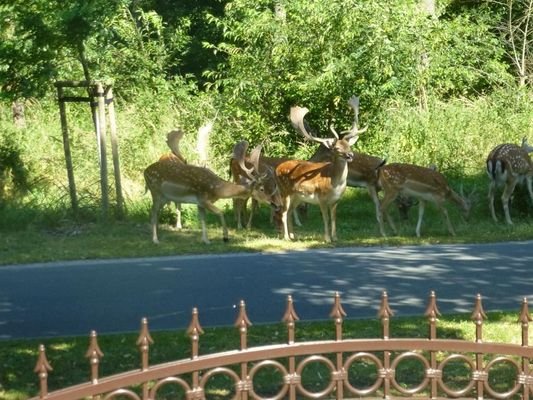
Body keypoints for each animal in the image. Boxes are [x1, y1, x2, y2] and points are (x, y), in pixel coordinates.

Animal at [145, 142, 278, 245]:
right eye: (262, 188)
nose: (275, 204)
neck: (217, 189)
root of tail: (145, 172)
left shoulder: (200, 203)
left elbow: (203, 219)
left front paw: (206, 240)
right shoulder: (203, 198)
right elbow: (220, 212)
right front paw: (225, 237)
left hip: (164, 197)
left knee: (155, 212)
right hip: (155, 191)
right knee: (153, 212)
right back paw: (155, 240)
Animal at [274, 96, 366, 244]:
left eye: (349, 146)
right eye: (337, 148)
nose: (350, 155)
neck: (335, 183)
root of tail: (277, 168)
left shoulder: (336, 201)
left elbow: (334, 218)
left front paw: (336, 238)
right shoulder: (322, 198)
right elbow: (326, 218)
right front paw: (327, 239)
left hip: (297, 196)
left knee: (289, 212)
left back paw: (294, 236)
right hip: (284, 191)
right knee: (283, 212)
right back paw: (286, 237)